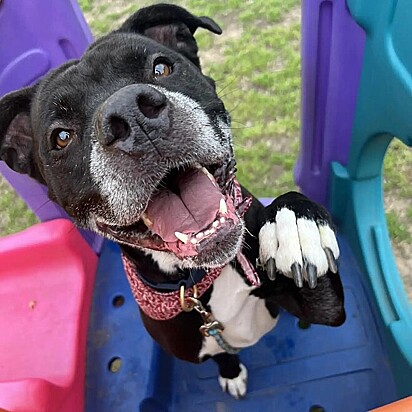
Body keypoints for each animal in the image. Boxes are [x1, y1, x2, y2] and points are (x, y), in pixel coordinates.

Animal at [0, 3, 344, 400]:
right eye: (61, 137)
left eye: (161, 67)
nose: (130, 113)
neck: (199, 281)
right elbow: (222, 355)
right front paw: (231, 372)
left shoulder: (326, 308)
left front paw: (297, 228)